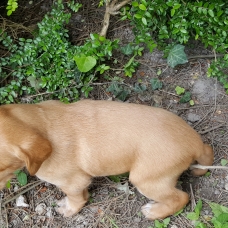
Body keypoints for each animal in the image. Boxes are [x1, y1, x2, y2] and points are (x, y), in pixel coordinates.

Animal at [0, 100, 214, 219]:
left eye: (2, 168)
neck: (43, 120)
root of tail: (193, 143)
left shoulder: (73, 182)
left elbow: (76, 197)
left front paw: (69, 209)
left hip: (145, 180)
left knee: (181, 197)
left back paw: (154, 212)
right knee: (208, 149)